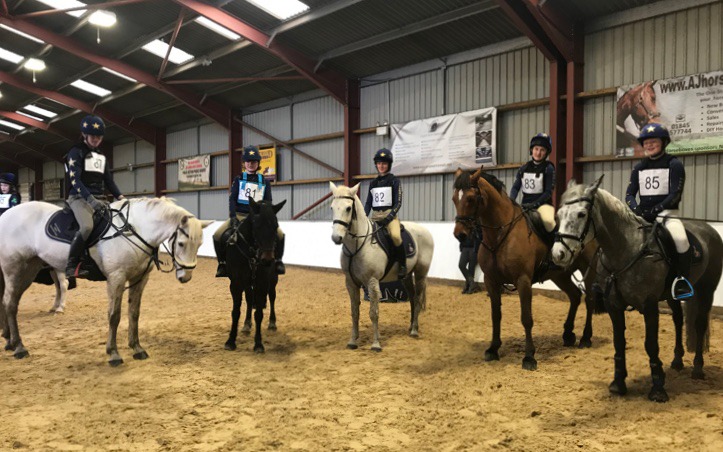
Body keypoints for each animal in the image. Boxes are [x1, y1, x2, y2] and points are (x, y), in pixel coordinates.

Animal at [0, 200, 212, 366]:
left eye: (200, 245)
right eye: (182, 243)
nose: (185, 277)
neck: (134, 231)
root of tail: (6, 215)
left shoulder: (139, 279)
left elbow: (134, 313)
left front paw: (137, 348)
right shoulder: (116, 278)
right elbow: (114, 316)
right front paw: (114, 354)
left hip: (29, 270)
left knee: (9, 301)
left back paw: (10, 341)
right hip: (15, 269)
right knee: (10, 304)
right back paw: (19, 347)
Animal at [223, 199, 286, 354]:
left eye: (275, 226)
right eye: (256, 226)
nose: (267, 260)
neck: (251, 252)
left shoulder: (262, 283)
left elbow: (259, 314)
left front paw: (258, 344)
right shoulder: (236, 283)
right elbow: (236, 312)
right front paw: (230, 341)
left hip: (272, 281)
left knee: (272, 297)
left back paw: (272, 323)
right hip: (247, 283)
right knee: (249, 299)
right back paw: (246, 325)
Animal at [330, 182, 436, 352]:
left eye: (348, 208)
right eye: (332, 207)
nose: (336, 238)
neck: (359, 245)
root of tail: (425, 230)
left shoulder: (372, 282)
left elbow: (373, 313)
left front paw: (376, 344)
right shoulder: (350, 283)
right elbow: (354, 312)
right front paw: (353, 341)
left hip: (421, 273)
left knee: (418, 298)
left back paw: (414, 330)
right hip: (406, 276)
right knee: (412, 298)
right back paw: (410, 327)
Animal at [452, 168, 600, 370]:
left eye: (470, 199)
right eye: (454, 198)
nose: (460, 234)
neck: (499, 236)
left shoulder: (523, 281)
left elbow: (526, 318)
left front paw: (529, 356)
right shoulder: (491, 281)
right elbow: (496, 315)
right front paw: (493, 349)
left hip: (588, 270)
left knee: (589, 300)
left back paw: (585, 338)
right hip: (560, 275)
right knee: (575, 296)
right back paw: (568, 334)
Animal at [552, 177, 720, 402]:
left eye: (581, 214)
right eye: (559, 215)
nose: (558, 254)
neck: (626, 250)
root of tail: (708, 229)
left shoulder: (649, 305)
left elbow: (651, 344)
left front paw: (658, 388)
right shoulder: (614, 305)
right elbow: (619, 342)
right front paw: (618, 383)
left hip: (706, 289)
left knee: (700, 324)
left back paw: (698, 369)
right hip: (672, 295)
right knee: (678, 320)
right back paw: (677, 361)